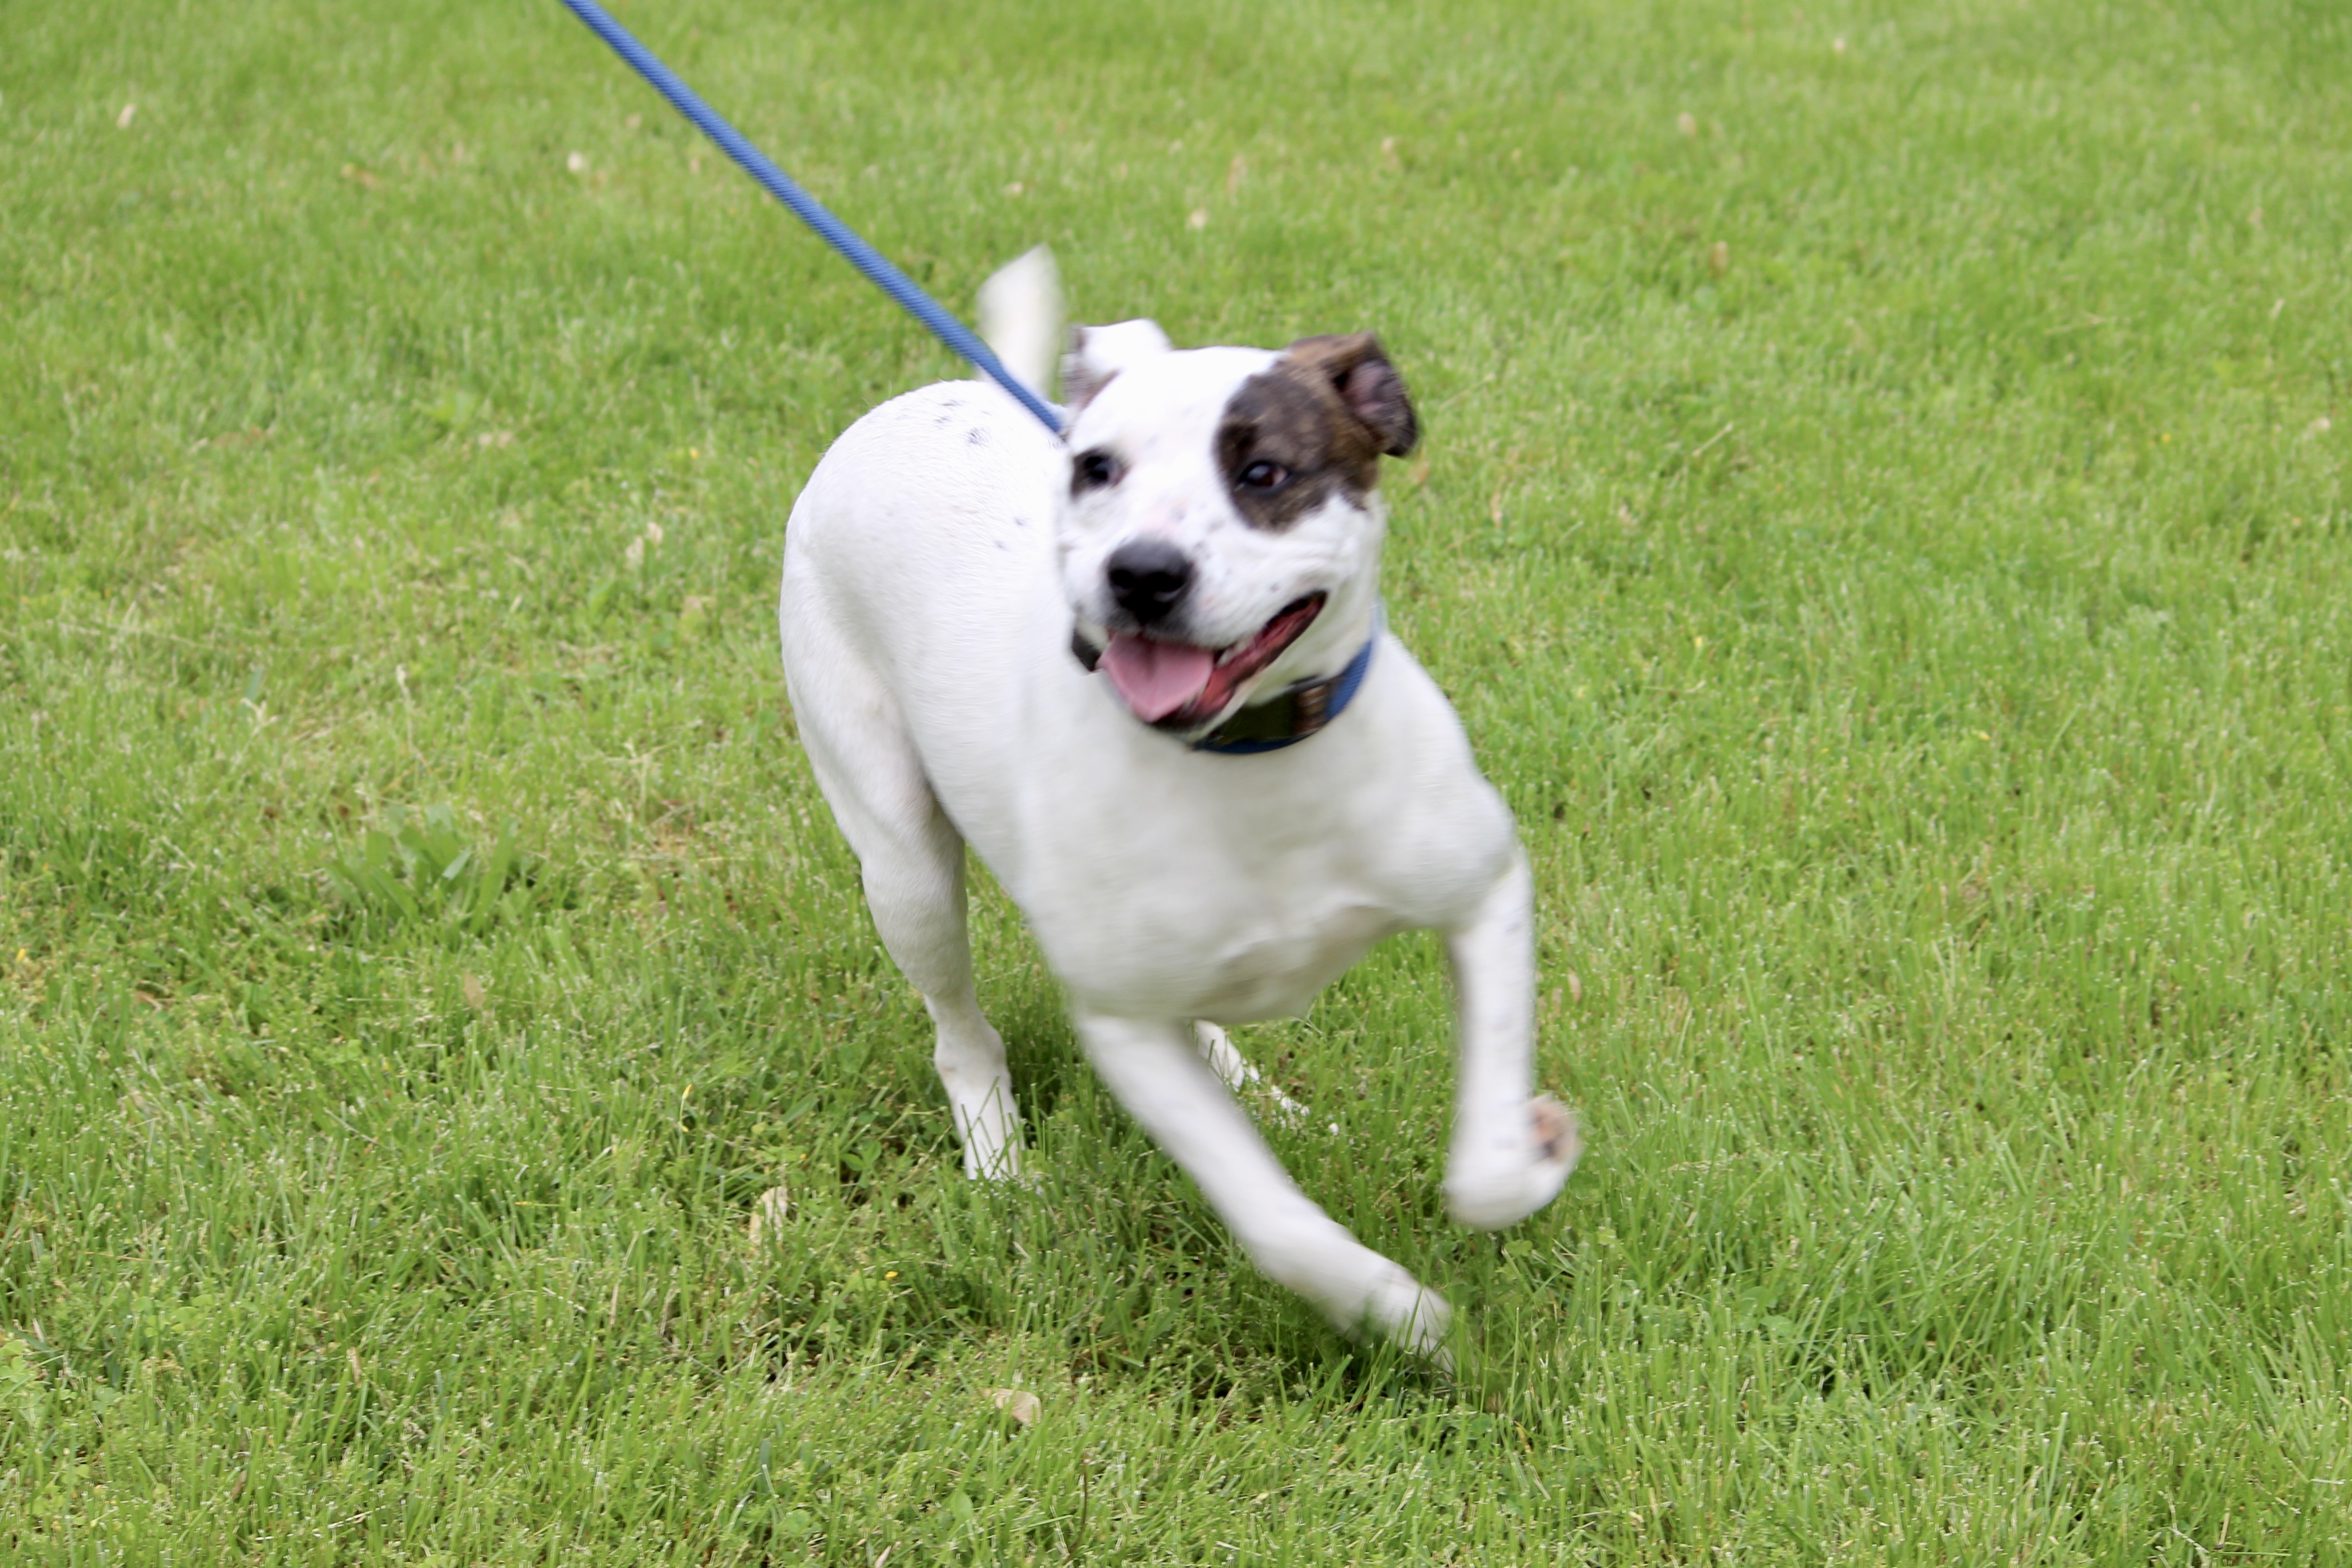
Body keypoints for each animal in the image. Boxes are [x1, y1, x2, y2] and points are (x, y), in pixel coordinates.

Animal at [776, 251, 1580, 1354]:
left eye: (1264, 472)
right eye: (1096, 470)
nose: (1142, 572)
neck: (1251, 760)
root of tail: (953, 393)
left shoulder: (1482, 891)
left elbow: (1487, 1158)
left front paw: (1528, 1153)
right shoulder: (1120, 1022)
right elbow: (1278, 1223)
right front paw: (1395, 1313)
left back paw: (1267, 1096)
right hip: (902, 863)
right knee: (960, 1030)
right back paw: (1000, 1161)